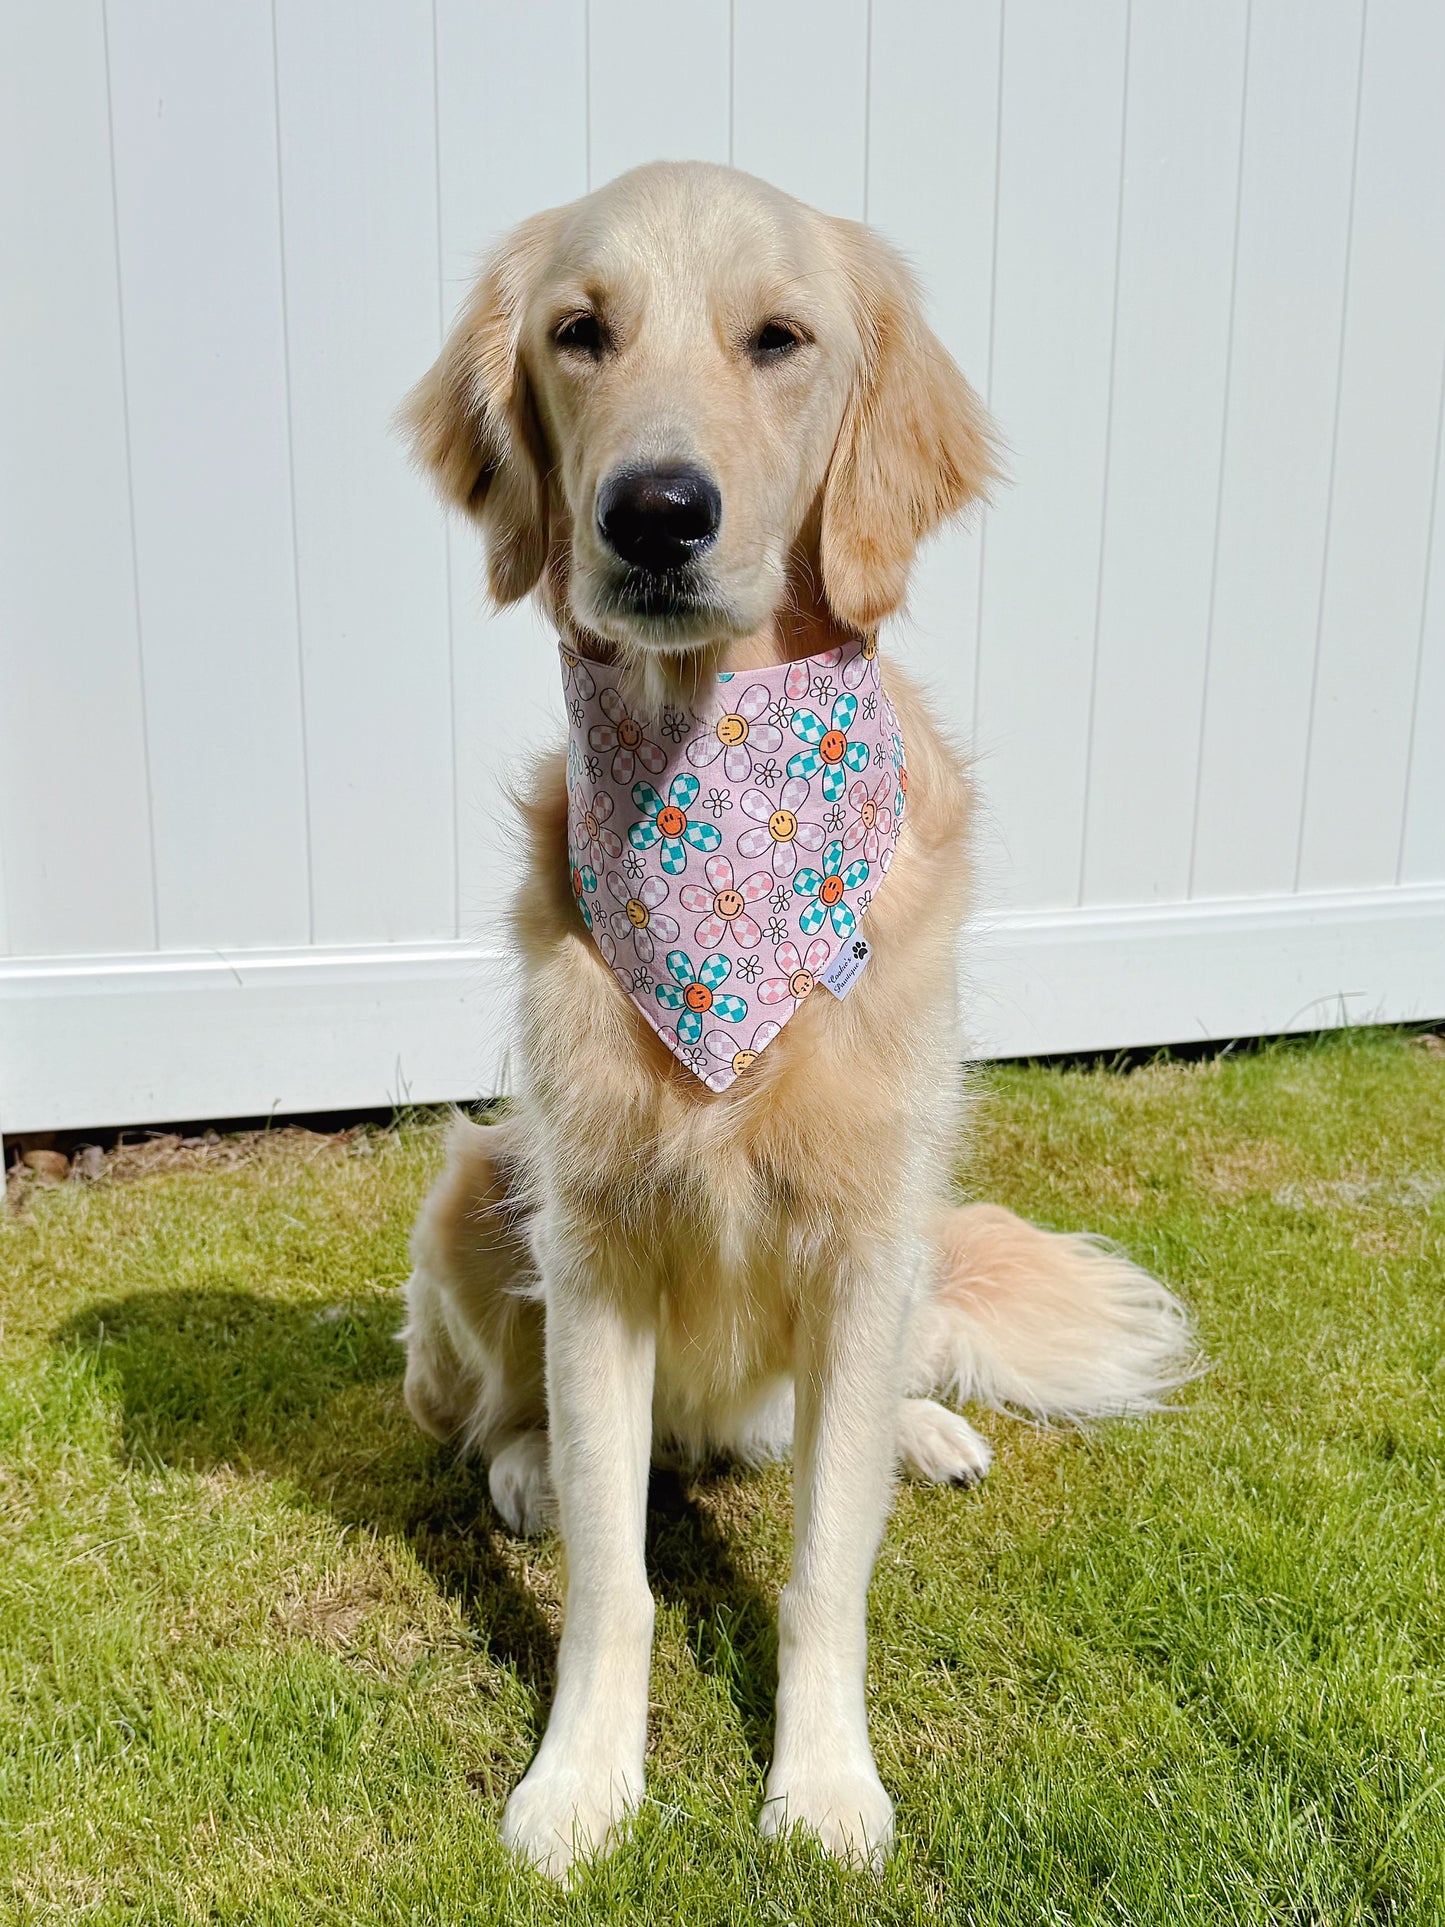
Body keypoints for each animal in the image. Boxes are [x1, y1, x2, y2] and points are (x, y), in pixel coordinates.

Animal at [393, 161, 1186, 1880]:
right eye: (579, 331)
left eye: (779, 338)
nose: (654, 511)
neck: (714, 788)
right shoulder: (596, 1241)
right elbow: (614, 1580)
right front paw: (581, 1779)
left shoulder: (869, 1229)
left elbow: (828, 1565)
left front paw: (821, 1782)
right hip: (481, 1183)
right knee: (493, 1409)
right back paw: (531, 1463)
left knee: (860, 1408)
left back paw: (920, 1430)